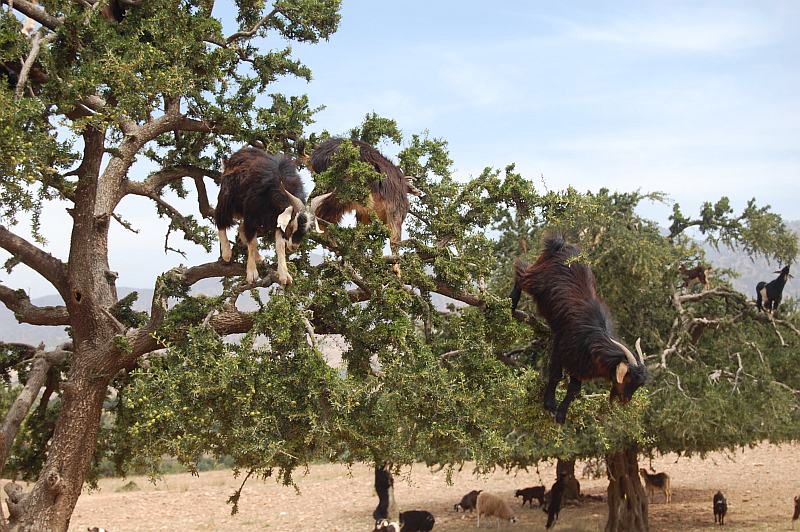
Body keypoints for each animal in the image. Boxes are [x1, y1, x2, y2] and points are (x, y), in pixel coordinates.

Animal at [212, 145, 332, 286]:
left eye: (308, 229)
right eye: (291, 225)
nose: (294, 246)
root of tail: (234, 157)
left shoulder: (276, 220)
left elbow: (279, 245)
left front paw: (284, 275)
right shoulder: (251, 215)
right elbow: (252, 243)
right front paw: (252, 274)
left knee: (241, 229)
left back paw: (258, 257)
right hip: (227, 197)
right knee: (220, 218)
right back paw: (226, 252)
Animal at [512, 235, 648, 422]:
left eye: (640, 384)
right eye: (629, 378)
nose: (624, 400)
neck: (593, 338)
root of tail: (562, 244)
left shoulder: (580, 362)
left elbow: (574, 388)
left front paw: (561, 415)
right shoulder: (561, 344)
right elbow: (556, 375)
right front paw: (549, 405)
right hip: (536, 279)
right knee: (521, 270)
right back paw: (510, 305)